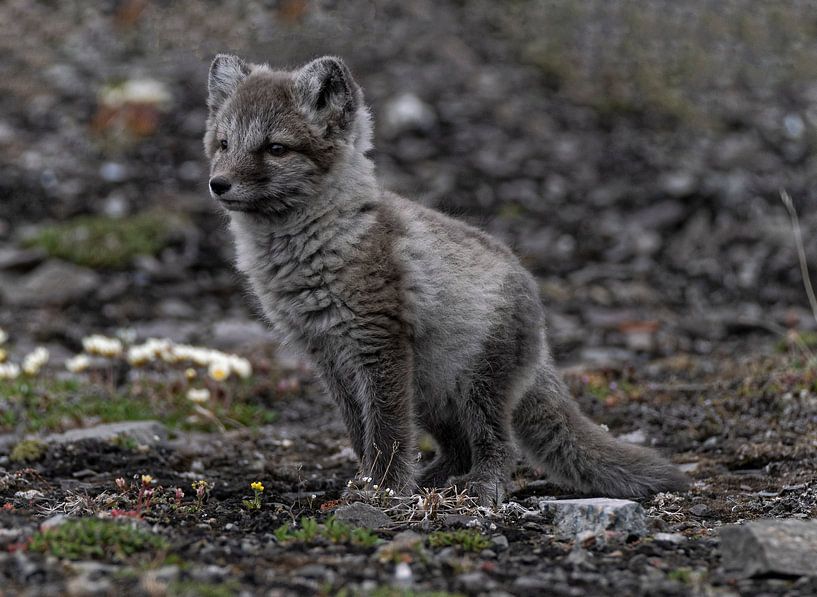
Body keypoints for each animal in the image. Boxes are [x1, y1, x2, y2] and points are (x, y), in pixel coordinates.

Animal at [203, 54, 688, 504]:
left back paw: (478, 491)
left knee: (499, 448)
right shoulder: (328, 358)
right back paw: (432, 483)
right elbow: (362, 434)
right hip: (431, 391)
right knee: (459, 451)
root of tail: (540, 323)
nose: (217, 184)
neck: (317, 244)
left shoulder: (379, 345)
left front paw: (384, 491)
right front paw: (369, 483)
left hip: (475, 388)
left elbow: (387, 433)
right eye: (224, 143)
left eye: (276, 148)